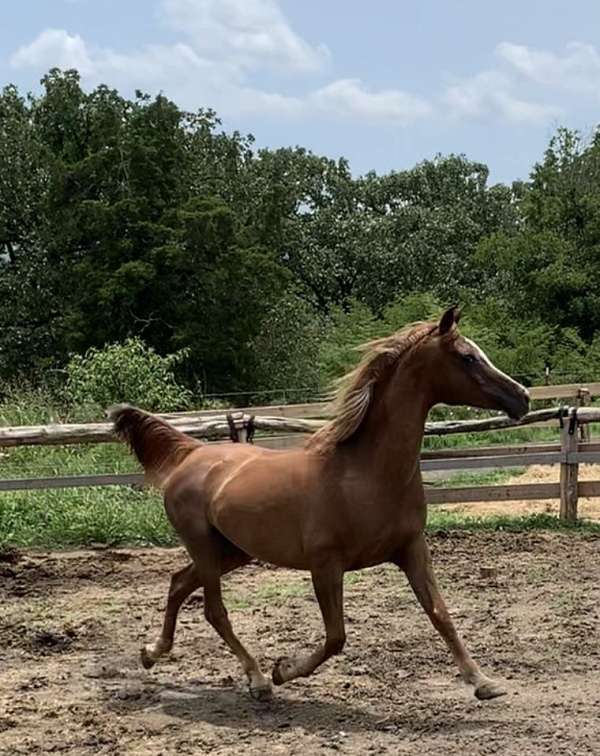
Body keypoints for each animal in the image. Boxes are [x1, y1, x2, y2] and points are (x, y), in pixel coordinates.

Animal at [109, 306, 529, 702]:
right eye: (467, 357)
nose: (521, 397)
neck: (366, 473)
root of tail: (191, 452)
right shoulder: (326, 564)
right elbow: (336, 636)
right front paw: (283, 670)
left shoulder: (412, 548)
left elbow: (441, 614)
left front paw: (483, 682)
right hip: (205, 548)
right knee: (214, 610)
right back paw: (259, 680)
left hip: (232, 550)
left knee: (179, 583)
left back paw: (151, 653)